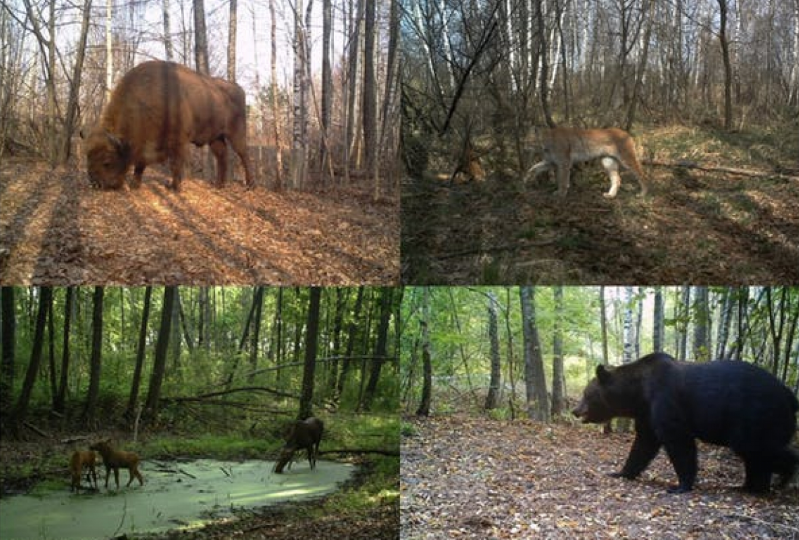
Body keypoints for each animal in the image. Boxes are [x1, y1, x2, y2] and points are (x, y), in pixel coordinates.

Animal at [82, 60, 252, 191]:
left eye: (107, 162)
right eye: (88, 157)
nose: (95, 184)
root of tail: (239, 89)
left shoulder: (178, 141)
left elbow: (175, 164)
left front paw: (174, 187)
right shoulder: (146, 143)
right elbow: (140, 164)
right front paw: (135, 184)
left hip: (236, 133)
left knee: (244, 155)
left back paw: (250, 185)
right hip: (215, 137)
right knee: (222, 156)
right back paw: (219, 185)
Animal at [576, 350, 799, 494]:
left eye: (586, 394)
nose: (575, 410)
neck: (639, 392)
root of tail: (790, 395)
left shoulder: (665, 399)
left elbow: (678, 441)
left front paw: (679, 485)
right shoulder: (647, 412)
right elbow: (644, 444)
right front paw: (620, 472)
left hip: (756, 415)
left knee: (756, 448)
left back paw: (776, 480)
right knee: (754, 454)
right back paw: (749, 485)